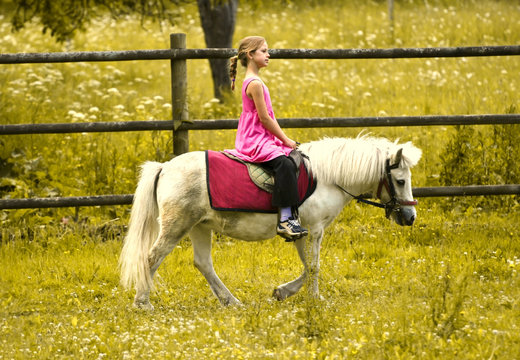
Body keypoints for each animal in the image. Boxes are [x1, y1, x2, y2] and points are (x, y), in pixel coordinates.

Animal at [120, 136, 420, 308]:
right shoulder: (314, 230)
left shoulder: (302, 232)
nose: (410, 218)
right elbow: (314, 267)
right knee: (151, 258)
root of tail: (165, 167)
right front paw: (315, 299)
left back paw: (232, 302)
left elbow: (307, 267)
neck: (327, 176)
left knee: (203, 263)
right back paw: (142, 303)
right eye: (400, 181)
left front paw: (282, 292)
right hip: (177, 225)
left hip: (199, 226)